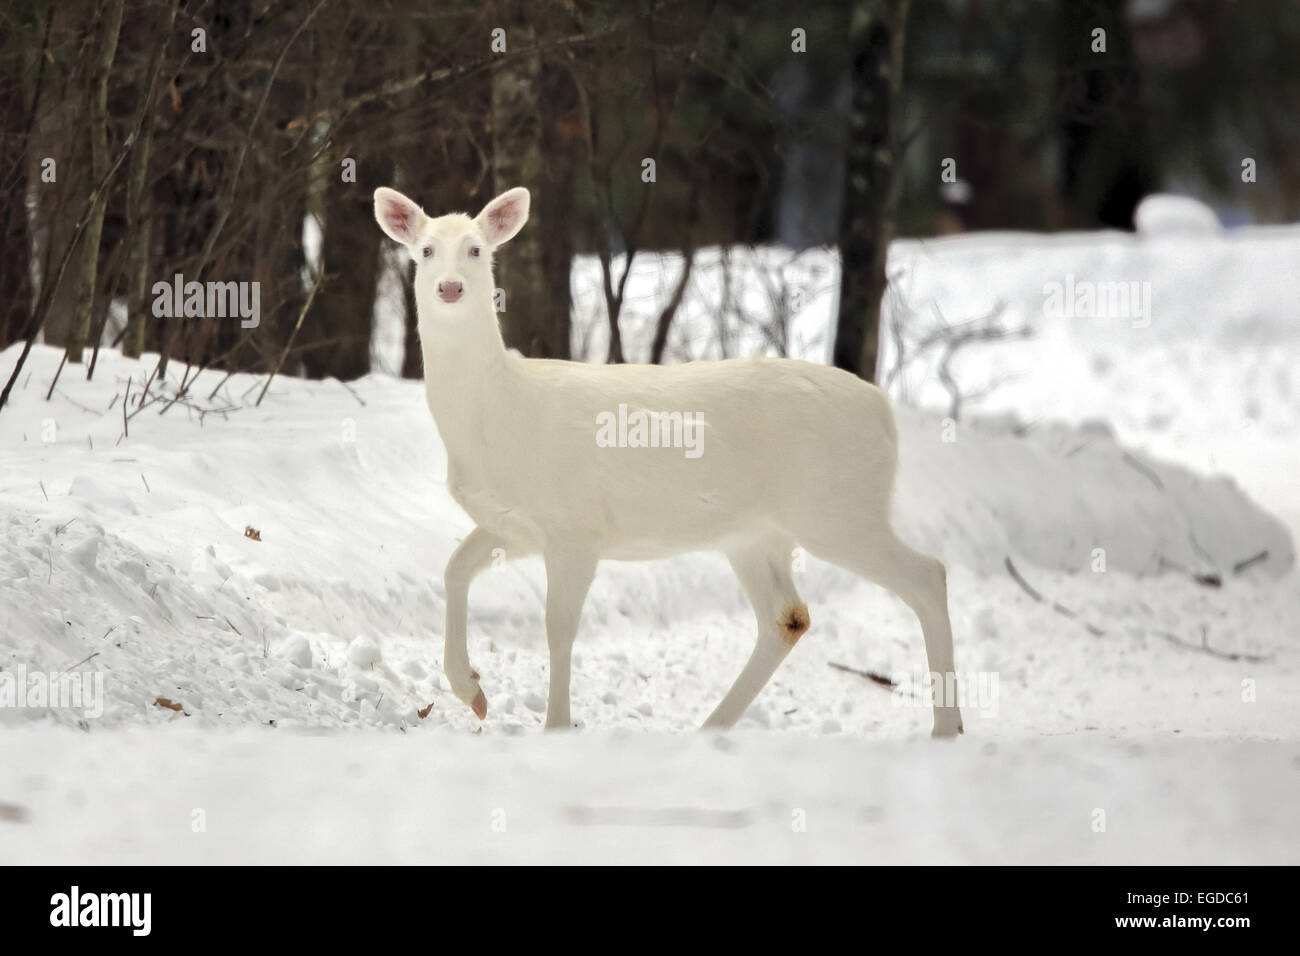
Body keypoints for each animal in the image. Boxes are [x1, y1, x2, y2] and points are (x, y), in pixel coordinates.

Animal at [371, 188, 961, 738]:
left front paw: (556, 726)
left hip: (835, 506)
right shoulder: (513, 525)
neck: (494, 416)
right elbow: (454, 568)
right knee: (788, 617)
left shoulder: (576, 523)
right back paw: (710, 728)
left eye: (475, 249)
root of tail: (884, 412)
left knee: (928, 574)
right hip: (755, 532)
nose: (450, 287)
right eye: (425, 251)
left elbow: (558, 626)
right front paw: (471, 691)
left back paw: (946, 728)